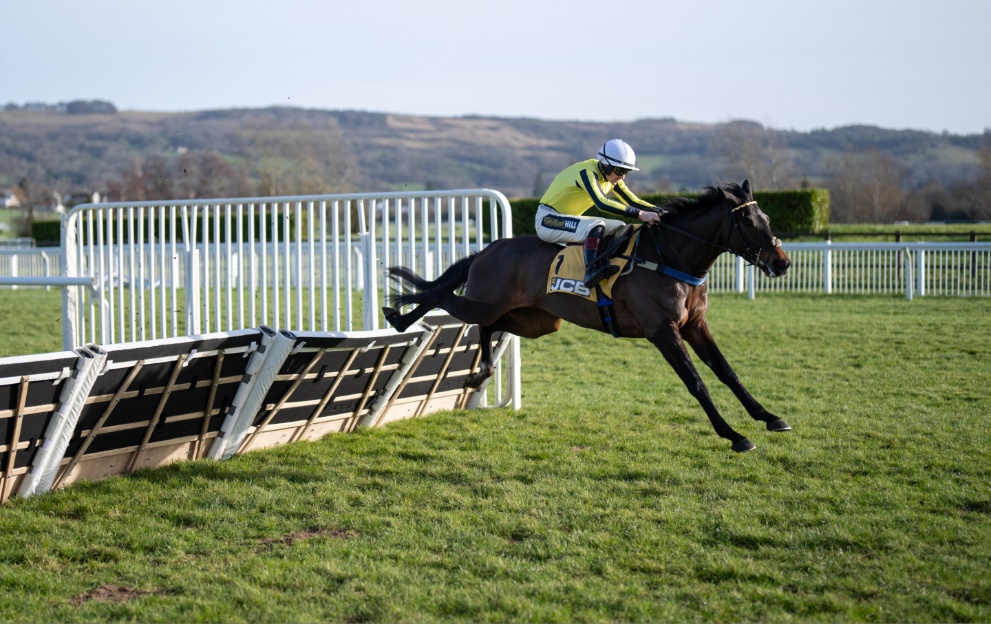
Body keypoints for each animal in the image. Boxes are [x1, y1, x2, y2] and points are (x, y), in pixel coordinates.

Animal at [384, 180, 796, 454]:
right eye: (748, 223)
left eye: (767, 216)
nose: (781, 263)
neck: (669, 257)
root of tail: (487, 250)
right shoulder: (662, 330)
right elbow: (697, 383)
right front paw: (735, 436)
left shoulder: (694, 325)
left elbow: (727, 372)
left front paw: (769, 417)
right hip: (486, 302)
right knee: (444, 298)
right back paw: (398, 317)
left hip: (536, 320)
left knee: (487, 326)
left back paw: (478, 372)